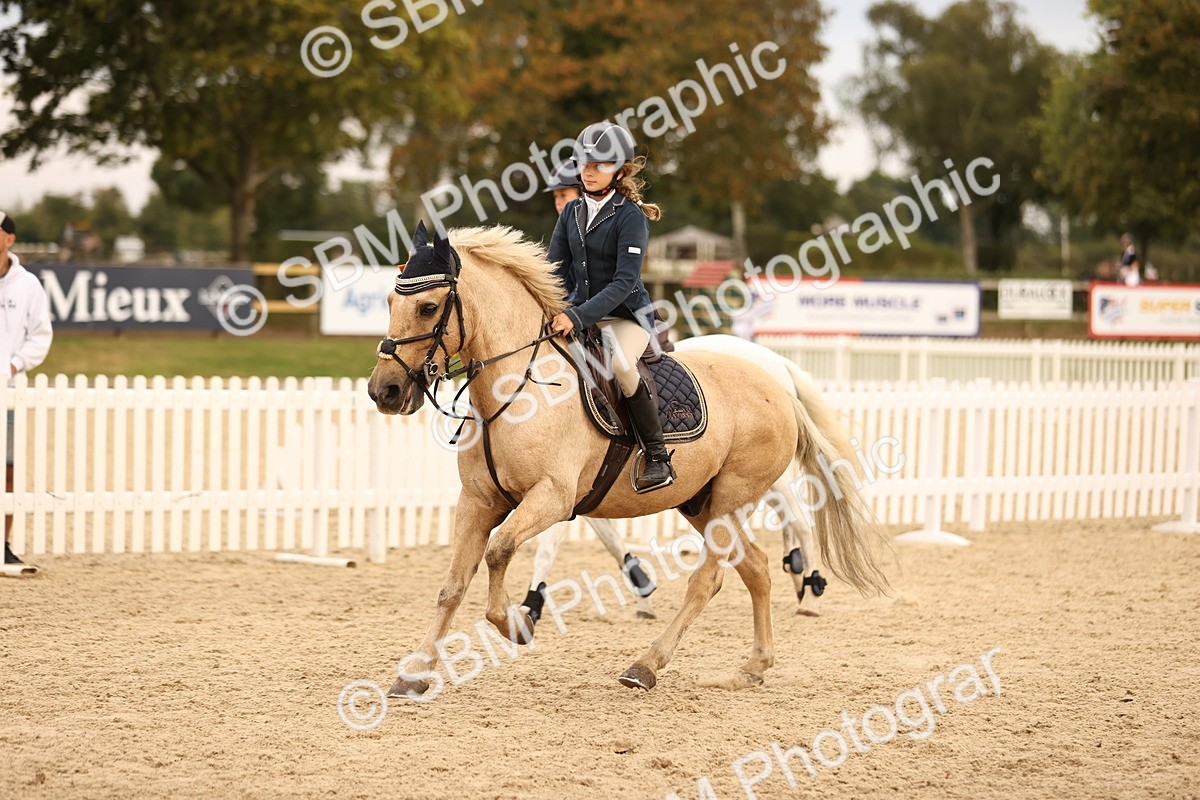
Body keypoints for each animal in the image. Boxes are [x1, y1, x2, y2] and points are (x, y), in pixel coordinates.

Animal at [520, 335, 834, 622]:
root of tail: (775, 361)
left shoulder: (563, 483)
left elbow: (548, 548)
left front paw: (530, 605)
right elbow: (609, 538)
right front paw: (642, 588)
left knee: (800, 523)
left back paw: (811, 593)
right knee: (787, 521)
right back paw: (797, 575)